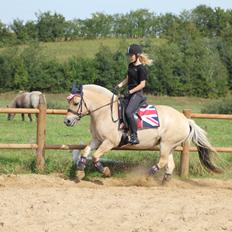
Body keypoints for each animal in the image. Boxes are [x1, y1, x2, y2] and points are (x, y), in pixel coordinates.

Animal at [63, 84, 221, 182]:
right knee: (169, 165)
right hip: (170, 146)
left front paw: (106, 172)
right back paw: (164, 182)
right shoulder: (97, 139)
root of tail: (185, 120)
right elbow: (85, 151)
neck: (104, 111)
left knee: (162, 162)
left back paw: (145, 178)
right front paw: (80, 172)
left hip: (165, 144)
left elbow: (95, 156)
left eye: (75, 103)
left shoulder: (109, 142)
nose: (67, 121)